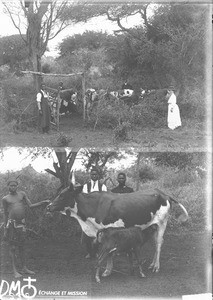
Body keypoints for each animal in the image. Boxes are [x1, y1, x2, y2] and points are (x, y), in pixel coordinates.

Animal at [46, 184, 188, 278]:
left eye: (62, 195)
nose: (48, 206)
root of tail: (163, 193)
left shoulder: (111, 232)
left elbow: (110, 253)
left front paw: (107, 271)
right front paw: (107, 270)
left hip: (162, 222)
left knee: (158, 243)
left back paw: (156, 267)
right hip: (153, 225)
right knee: (156, 243)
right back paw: (152, 264)